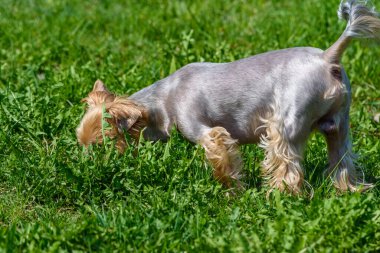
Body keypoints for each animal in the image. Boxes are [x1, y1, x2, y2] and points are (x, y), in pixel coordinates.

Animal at [75, 0, 378, 194]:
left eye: (100, 146)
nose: (88, 169)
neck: (161, 100)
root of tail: (328, 57)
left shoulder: (207, 132)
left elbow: (223, 161)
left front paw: (233, 192)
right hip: (339, 124)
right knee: (342, 158)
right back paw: (347, 191)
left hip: (286, 123)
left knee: (286, 163)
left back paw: (280, 196)